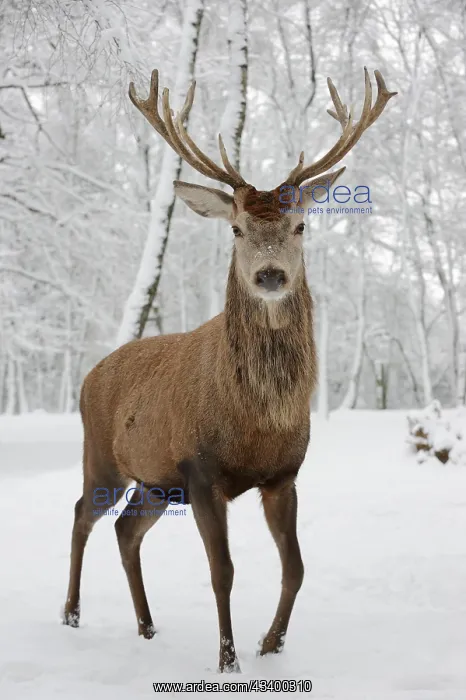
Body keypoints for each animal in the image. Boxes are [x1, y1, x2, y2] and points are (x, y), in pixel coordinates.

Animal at [63, 66, 396, 672]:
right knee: (82, 513)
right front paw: (228, 660)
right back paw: (72, 614)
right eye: (237, 229)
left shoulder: (284, 474)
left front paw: (271, 644)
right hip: (103, 456)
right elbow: (223, 571)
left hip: (155, 482)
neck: (256, 421)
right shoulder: (201, 470)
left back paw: (147, 627)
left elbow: (296, 567)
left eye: (301, 226)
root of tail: (91, 373)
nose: (269, 275)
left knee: (125, 530)